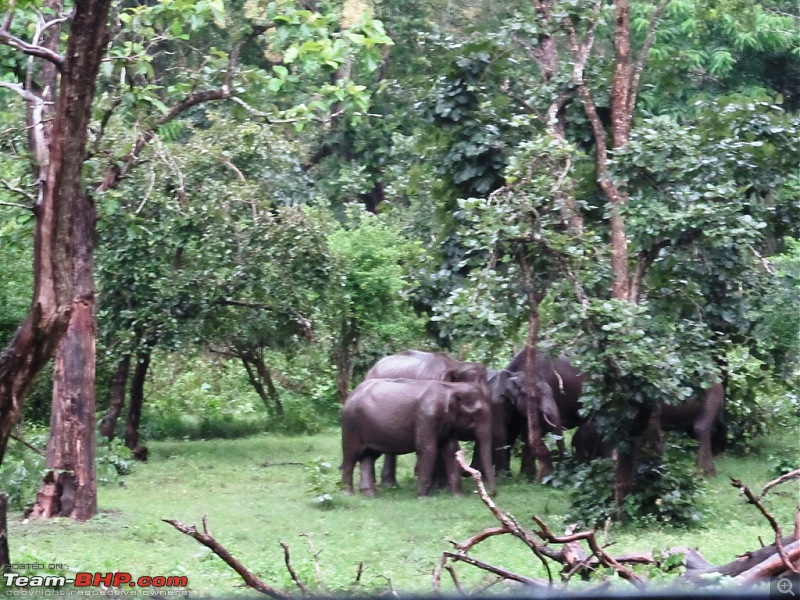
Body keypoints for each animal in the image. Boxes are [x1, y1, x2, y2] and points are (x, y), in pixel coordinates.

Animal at [342, 380, 496, 496]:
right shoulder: (427, 417)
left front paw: (458, 497)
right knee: (350, 457)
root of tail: (351, 394)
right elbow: (427, 449)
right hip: (351, 426)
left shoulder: (449, 426)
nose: (492, 493)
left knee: (368, 457)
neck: (451, 387)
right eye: (477, 412)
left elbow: (451, 451)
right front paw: (422, 497)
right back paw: (348, 494)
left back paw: (369, 495)